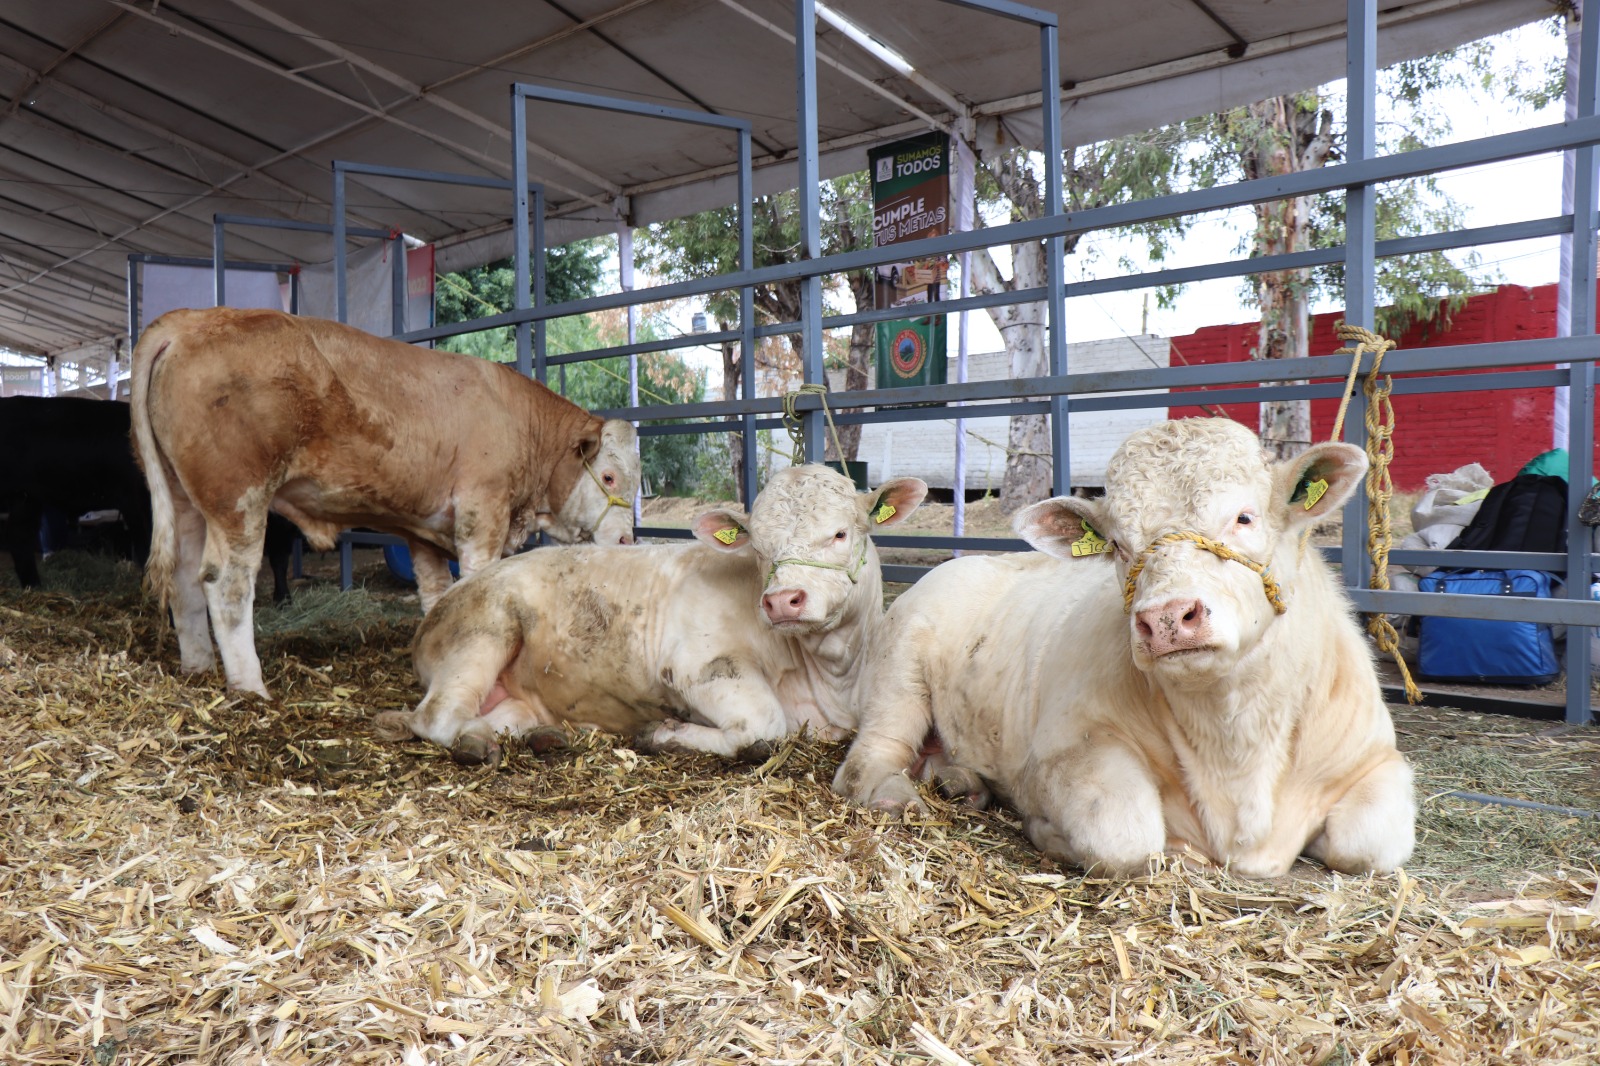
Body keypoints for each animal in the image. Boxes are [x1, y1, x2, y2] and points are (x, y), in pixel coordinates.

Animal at [374, 464, 928, 765]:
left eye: (840, 533)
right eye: (760, 550)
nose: (781, 600)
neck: (833, 676)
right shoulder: (698, 666)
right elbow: (764, 725)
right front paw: (664, 734)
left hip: (517, 693)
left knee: (499, 716)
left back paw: (540, 736)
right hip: (484, 633)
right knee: (436, 717)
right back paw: (473, 741)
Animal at [832, 419, 1420, 877]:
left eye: (1244, 517)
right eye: (1117, 544)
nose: (1166, 618)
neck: (1235, 743)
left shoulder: (1376, 759)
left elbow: (1366, 845)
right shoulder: (1068, 750)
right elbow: (1124, 835)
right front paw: (1047, 830)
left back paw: (960, 782)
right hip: (898, 672)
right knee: (865, 763)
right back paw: (900, 797)